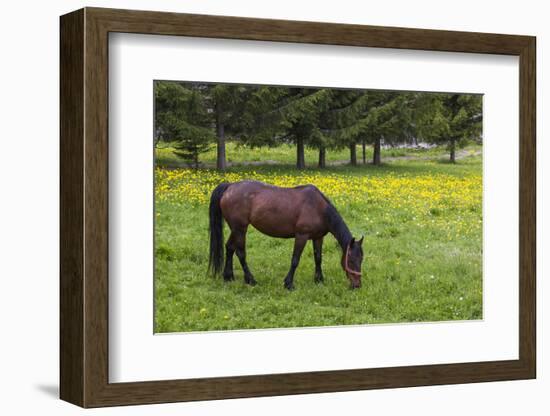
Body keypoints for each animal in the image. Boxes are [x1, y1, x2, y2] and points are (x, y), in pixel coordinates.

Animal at [209, 179, 364, 290]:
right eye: (350, 261)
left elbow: (318, 258)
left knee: (229, 247)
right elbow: (295, 260)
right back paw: (250, 280)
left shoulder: (318, 237)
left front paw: (319, 280)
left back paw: (228, 276)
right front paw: (288, 284)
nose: (357, 285)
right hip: (240, 229)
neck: (319, 208)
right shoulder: (301, 236)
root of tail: (230, 186)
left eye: (361, 260)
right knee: (240, 253)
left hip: (236, 229)